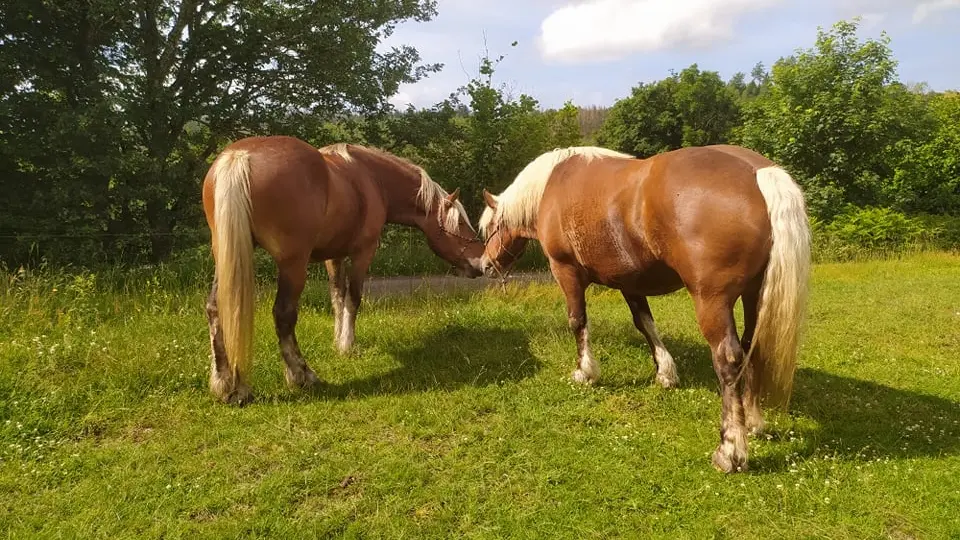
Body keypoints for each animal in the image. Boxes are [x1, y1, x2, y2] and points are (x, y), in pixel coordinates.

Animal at [201, 135, 484, 405]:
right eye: (460, 223)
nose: (482, 263)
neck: (372, 179)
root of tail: (241, 157)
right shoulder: (363, 253)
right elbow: (353, 298)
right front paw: (348, 344)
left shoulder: (333, 256)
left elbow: (337, 298)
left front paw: (338, 341)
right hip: (293, 265)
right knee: (283, 315)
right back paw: (301, 375)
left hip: (226, 256)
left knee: (216, 309)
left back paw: (227, 385)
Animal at [478, 145, 811, 473]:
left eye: (490, 227)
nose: (485, 265)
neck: (552, 183)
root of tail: (758, 174)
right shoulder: (629, 282)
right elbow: (645, 323)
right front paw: (665, 373)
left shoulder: (566, 271)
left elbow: (577, 321)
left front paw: (585, 372)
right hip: (755, 294)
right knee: (753, 346)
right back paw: (753, 422)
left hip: (712, 300)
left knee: (728, 359)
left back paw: (731, 451)